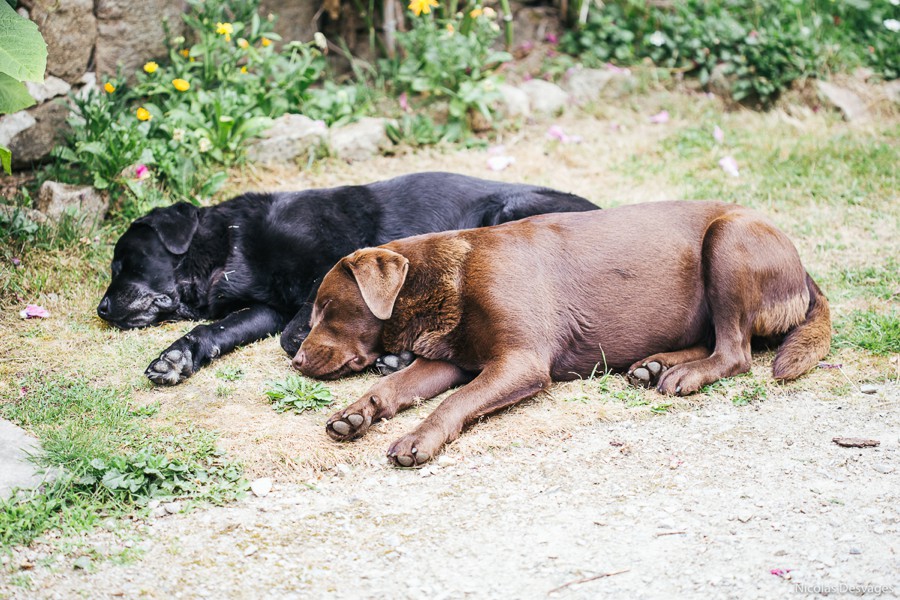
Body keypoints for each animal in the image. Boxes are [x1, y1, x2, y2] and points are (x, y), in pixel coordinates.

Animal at [96, 170, 596, 384]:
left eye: (124, 262)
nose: (101, 309)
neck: (232, 245)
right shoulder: (264, 308)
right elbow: (214, 330)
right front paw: (176, 358)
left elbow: (295, 333)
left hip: (506, 214)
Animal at [294, 199, 828, 466]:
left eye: (326, 308)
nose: (295, 360)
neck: (451, 277)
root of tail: (803, 268)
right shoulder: (447, 360)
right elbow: (391, 385)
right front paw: (355, 415)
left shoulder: (520, 362)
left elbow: (455, 402)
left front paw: (416, 440)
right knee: (715, 340)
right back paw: (655, 365)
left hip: (727, 241)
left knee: (735, 351)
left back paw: (685, 375)